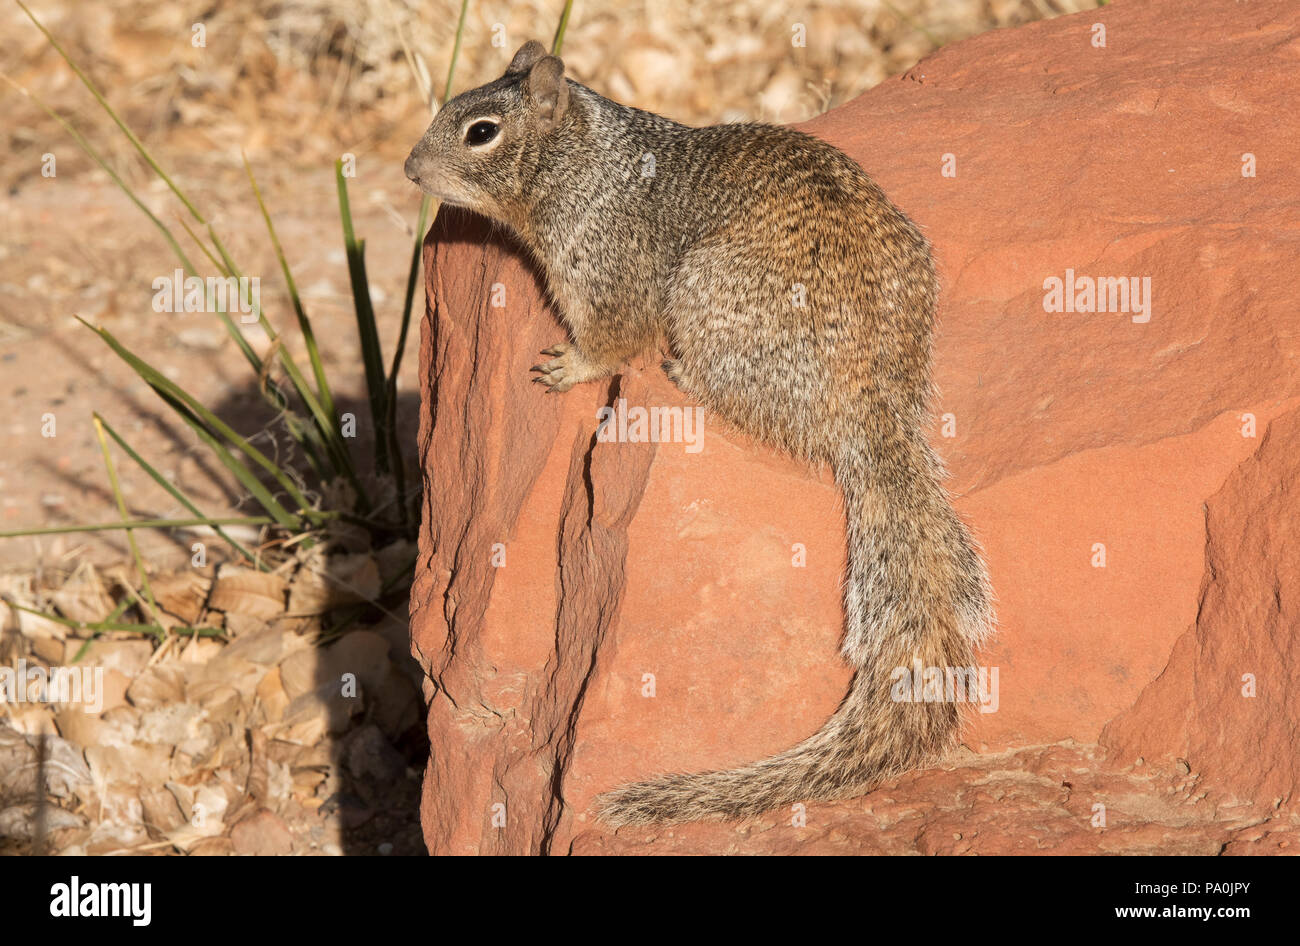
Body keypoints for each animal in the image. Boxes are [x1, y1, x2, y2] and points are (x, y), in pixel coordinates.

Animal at [405, 40, 993, 826]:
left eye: (481, 132)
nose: (410, 167)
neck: (583, 161)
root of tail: (872, 404)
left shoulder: (604, 267)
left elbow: (613, 339)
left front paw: (568, 367)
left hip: (703, 302)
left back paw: (682, 374)